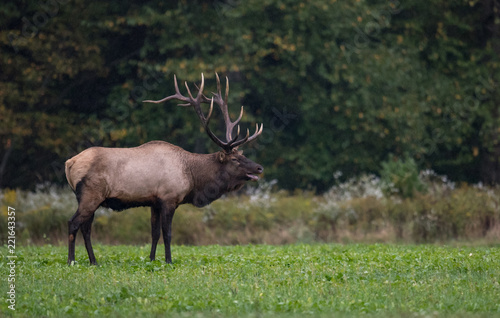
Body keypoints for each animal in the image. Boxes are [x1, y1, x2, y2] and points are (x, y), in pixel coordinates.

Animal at [64, 73, 264, 264]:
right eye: (236, 159)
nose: (259, 168)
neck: (192, 176)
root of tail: (69, 163)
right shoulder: (169, 198)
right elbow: (167, 234)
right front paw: (169, 260)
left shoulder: (155, 202)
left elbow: (155, 233)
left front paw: (152, 259)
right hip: (90, 194)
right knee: (73, 223)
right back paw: (71, 261)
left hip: (87, 198)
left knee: (86, 228)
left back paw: (93, 261)